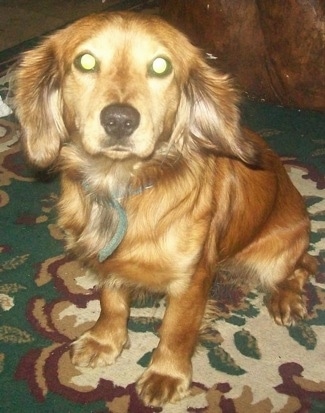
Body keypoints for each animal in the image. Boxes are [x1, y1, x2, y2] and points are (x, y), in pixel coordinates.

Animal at [13, 12, 316, 406]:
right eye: (86, 62)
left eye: (161, 66)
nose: (119, 120)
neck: (121, 185)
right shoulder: (109, 261)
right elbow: (111, 301)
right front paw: (105, 341)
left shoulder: (191, 281)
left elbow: (176, 330)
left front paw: (166, 375)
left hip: (276, 255)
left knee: (302, 266)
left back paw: (286, 299)